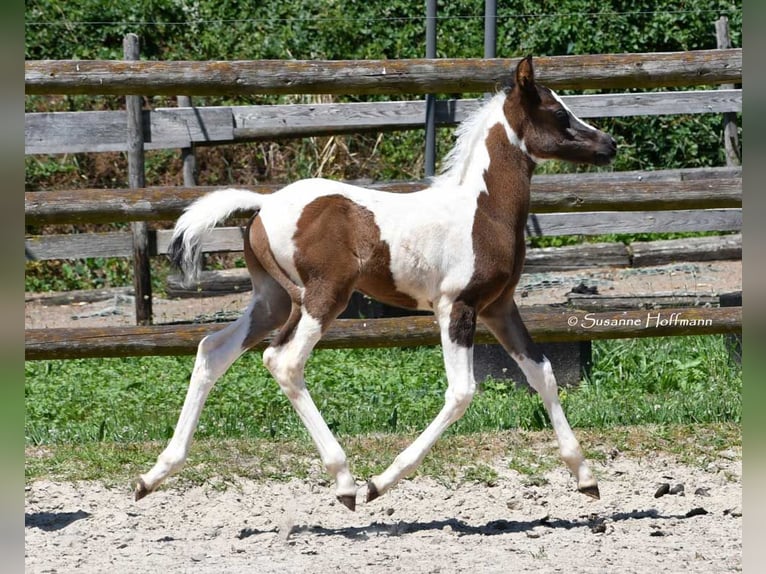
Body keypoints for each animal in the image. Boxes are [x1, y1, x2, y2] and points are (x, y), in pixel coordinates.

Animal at [135, 56, 617, 511]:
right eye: (558, 112)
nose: (608, 145)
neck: (482, 209)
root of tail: (264, 203)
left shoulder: (499, 307)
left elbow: (543, 373)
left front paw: (586, 477)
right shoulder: (457, 306)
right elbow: (461, 393)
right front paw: (381, 482)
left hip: (273, 300)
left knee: (212, 350)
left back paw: (154, 475)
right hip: (322, 297)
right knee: (285, 361)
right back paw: (345, 480)